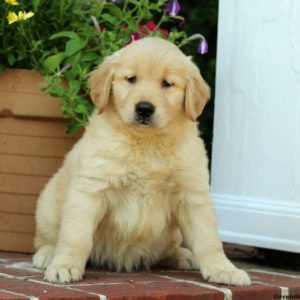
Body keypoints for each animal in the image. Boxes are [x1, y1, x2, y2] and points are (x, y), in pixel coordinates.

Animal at [32, 36, 251, 284]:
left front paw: (224, 269)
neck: (147, 143)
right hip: (48, 205)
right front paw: (65, 265)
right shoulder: (90, 190)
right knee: (46, 238)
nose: (144, 108)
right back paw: (48, 254)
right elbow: (75, 235)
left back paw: (183, 255)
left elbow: (209, 239)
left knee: (167, 249)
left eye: (167, 83)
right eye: (131, 79)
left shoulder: (192, 195)